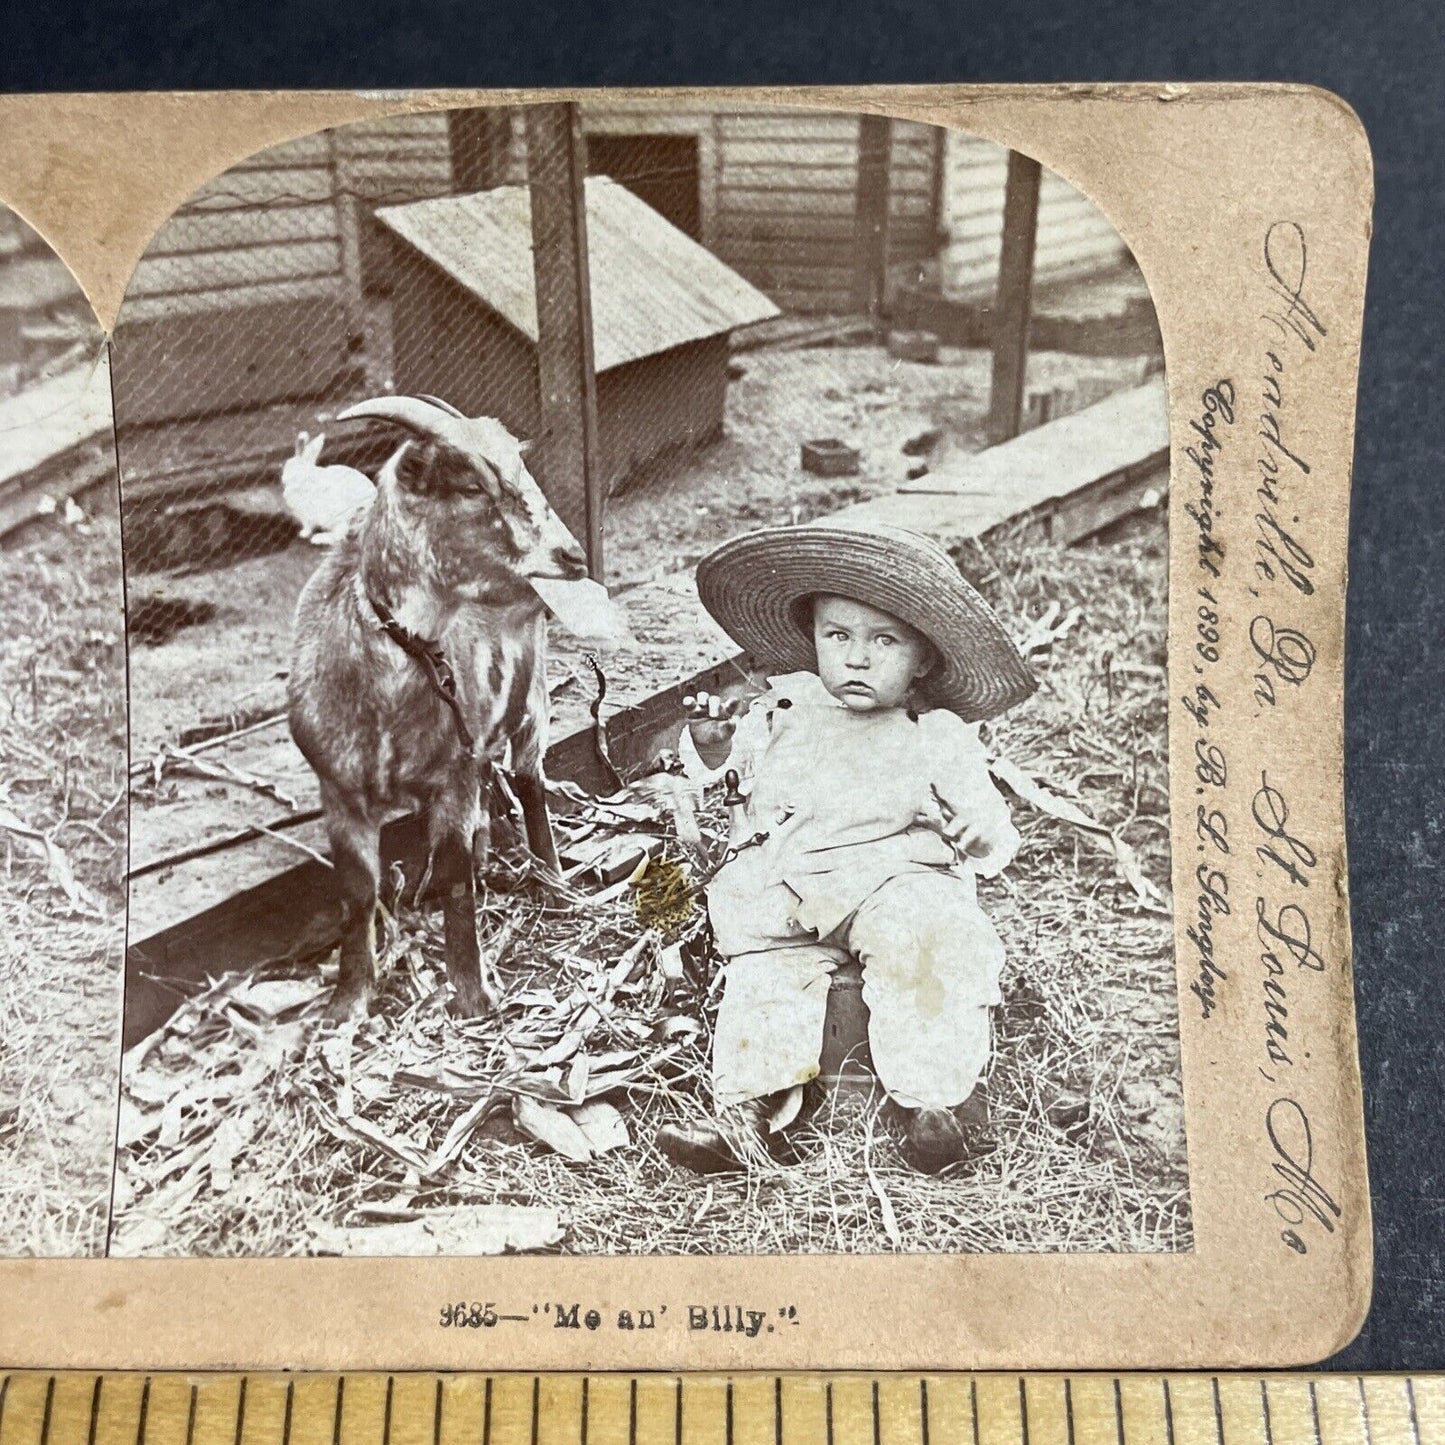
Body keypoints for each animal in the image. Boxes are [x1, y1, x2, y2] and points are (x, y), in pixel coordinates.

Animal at [287, 395, 586, 1023]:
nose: (572, 555)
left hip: (532, 703)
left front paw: (472, 994)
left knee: (531, 782)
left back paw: (552, 881)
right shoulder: (339, 793)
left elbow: (453, 875)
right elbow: (358, 891)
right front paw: (348, 1000)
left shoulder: (453, 776)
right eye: (471, 485)